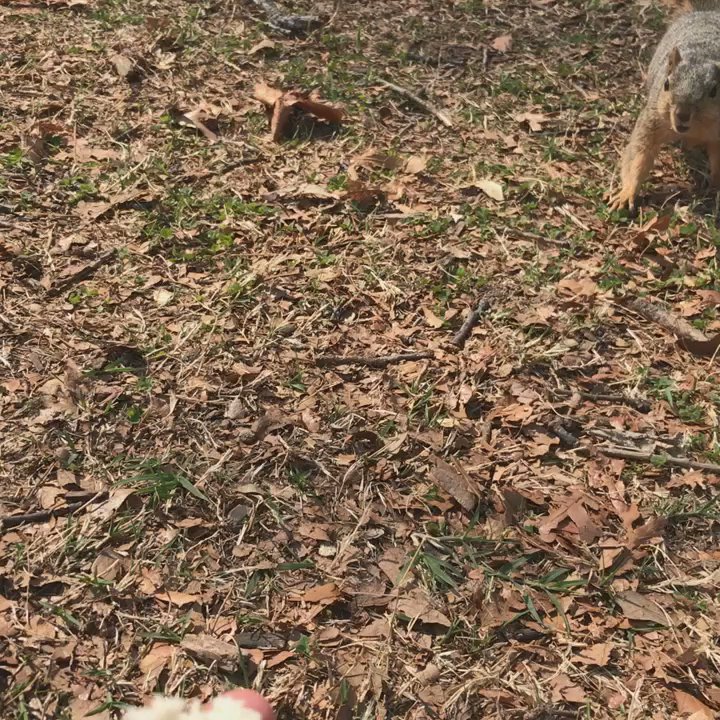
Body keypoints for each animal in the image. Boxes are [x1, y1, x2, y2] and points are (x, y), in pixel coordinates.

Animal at [607, 0, 720, 211]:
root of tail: (706, 12)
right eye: (666, 84)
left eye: (714, 91)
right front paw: (626, 194)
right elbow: (640, 154)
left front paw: (716, 187)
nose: (682, 114)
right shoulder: (652, 121)